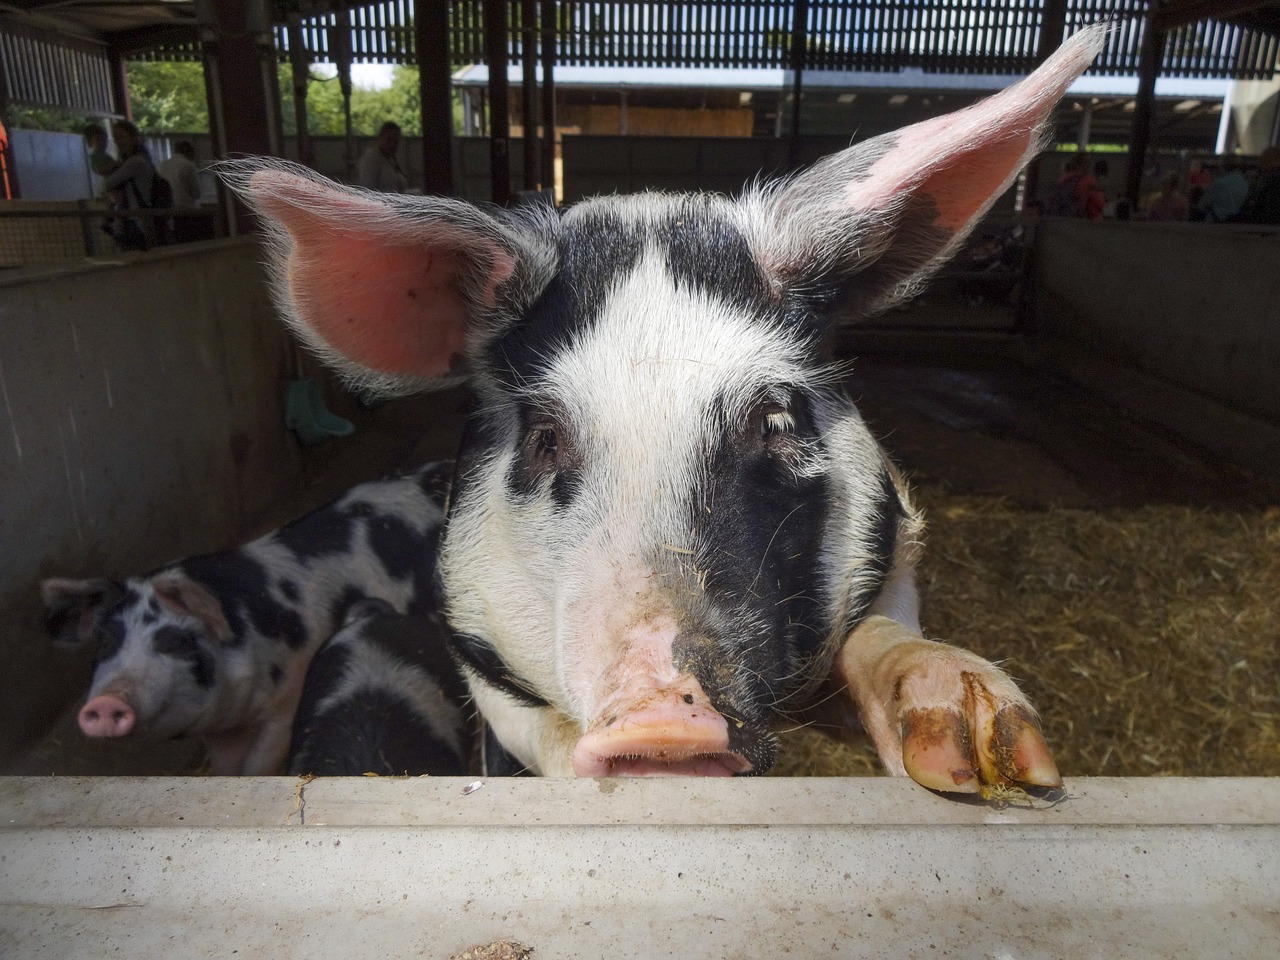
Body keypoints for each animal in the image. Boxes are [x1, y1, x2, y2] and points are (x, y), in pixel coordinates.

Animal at [42, 463, 453, 778]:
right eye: (105, 640)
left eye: (175, 640)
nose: (107, 703)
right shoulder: (221, 730)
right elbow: (228, 769)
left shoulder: (285, 708)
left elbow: (257, 766)